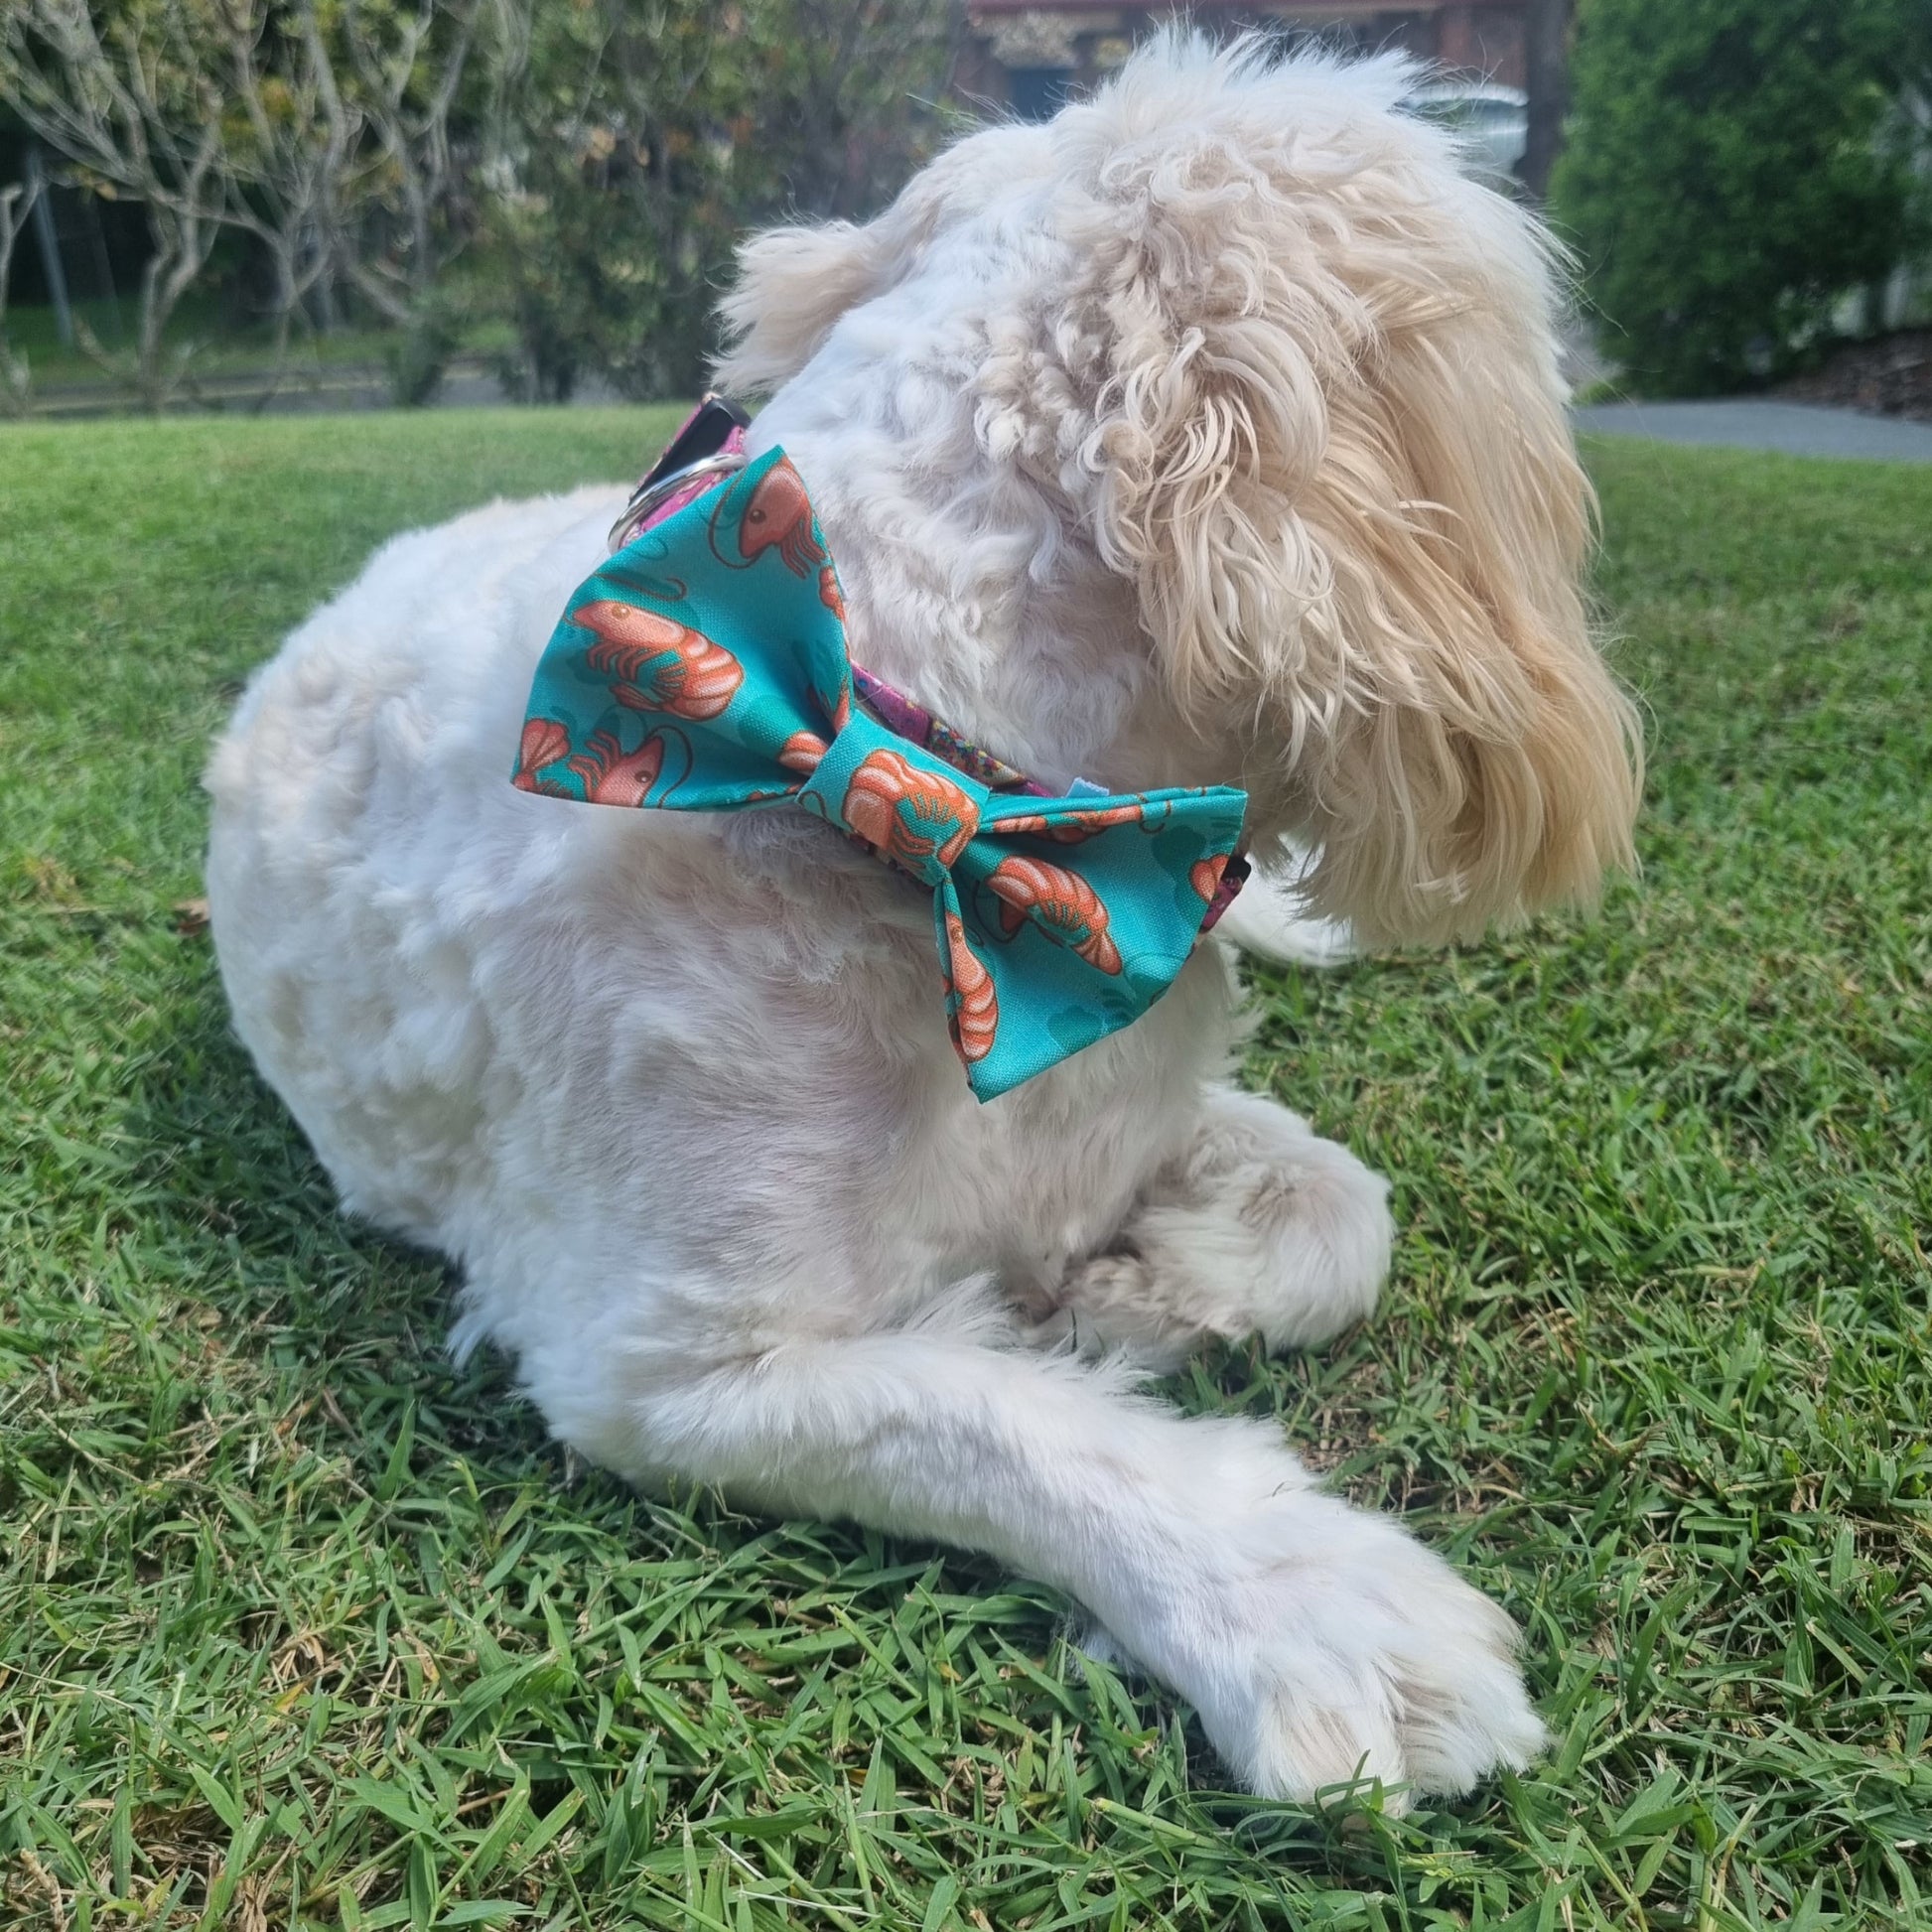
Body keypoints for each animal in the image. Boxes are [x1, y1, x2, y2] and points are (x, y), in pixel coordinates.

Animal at [207, 37, 1630, 1800]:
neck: (933, 803)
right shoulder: (655, 1366)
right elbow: (991, 1419)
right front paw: (1304, 1605)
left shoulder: (1136, 1088)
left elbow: (1340, 1219)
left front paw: (1146, 1285)